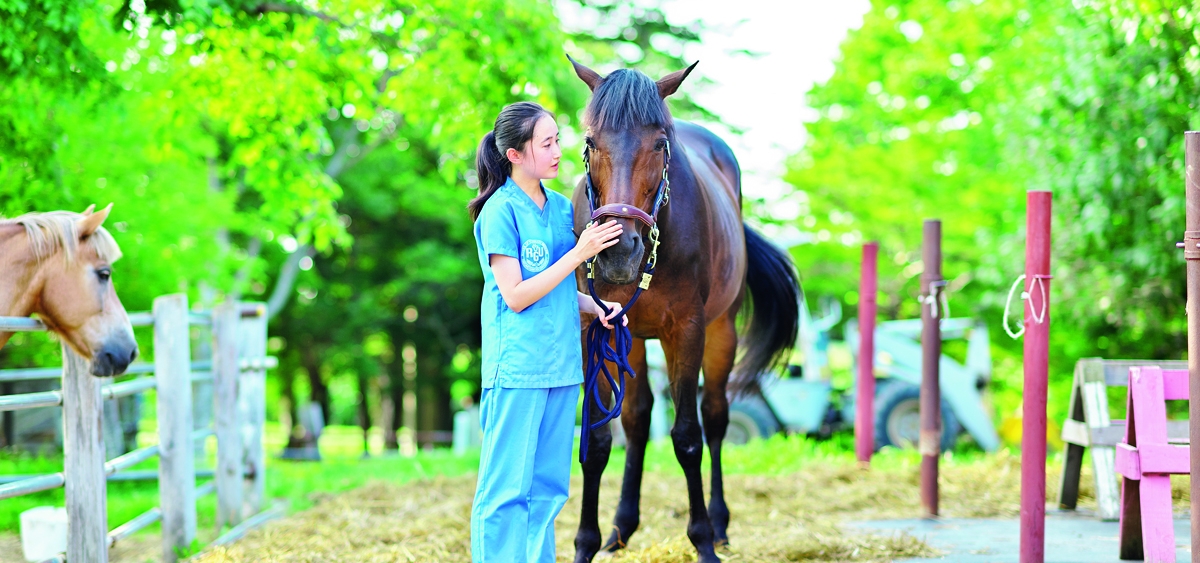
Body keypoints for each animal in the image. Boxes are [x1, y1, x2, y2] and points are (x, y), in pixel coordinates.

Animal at [566, 58, 801, 561]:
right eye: (591, 141)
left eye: (659, 143)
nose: (618, 252)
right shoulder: (595, 327)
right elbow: (599, 438)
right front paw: (587, 542)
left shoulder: (688, 329)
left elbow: (688, 438)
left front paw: (703, 540)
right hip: (631, 339)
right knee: (637, 420)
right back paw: (621, 527)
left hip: (721, 331)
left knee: (714, 418)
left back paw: (720, 523)